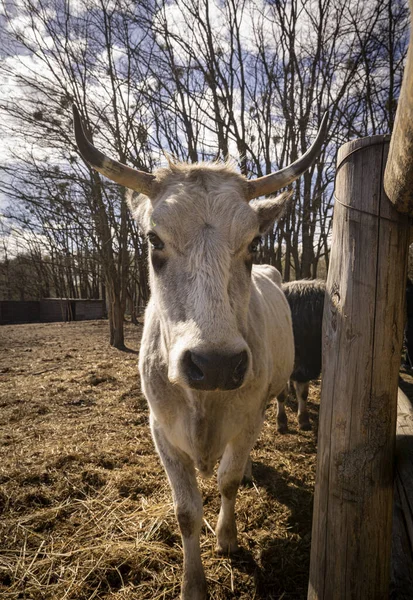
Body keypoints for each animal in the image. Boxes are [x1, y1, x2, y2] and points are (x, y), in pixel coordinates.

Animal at [72, 105, 326, 596]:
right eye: (154, 240)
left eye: (254, 242)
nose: (216, 364)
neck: (204, 403)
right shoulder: (161, 431)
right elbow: (186, 512)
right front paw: (193, 583)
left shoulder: (246, 418)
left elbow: (227, 482)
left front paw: (227, 538)